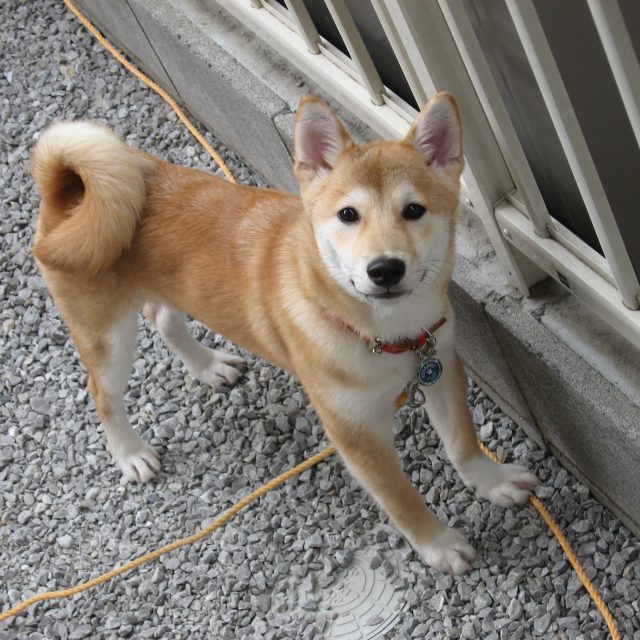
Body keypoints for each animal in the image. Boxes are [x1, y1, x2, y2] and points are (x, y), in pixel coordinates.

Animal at [31, 93, 538, 574]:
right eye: (348, 215)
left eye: (413, 210)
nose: (385, 269)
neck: (385, 334)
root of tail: (70, 192)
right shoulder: (354, 430)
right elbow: (402, 500)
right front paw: (439, 545)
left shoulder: (441, 364)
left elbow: (463, 443)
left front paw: (492, 482)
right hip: (108, 335)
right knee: (103, 393)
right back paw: (131, 453)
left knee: (163, 318)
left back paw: (208, 366)